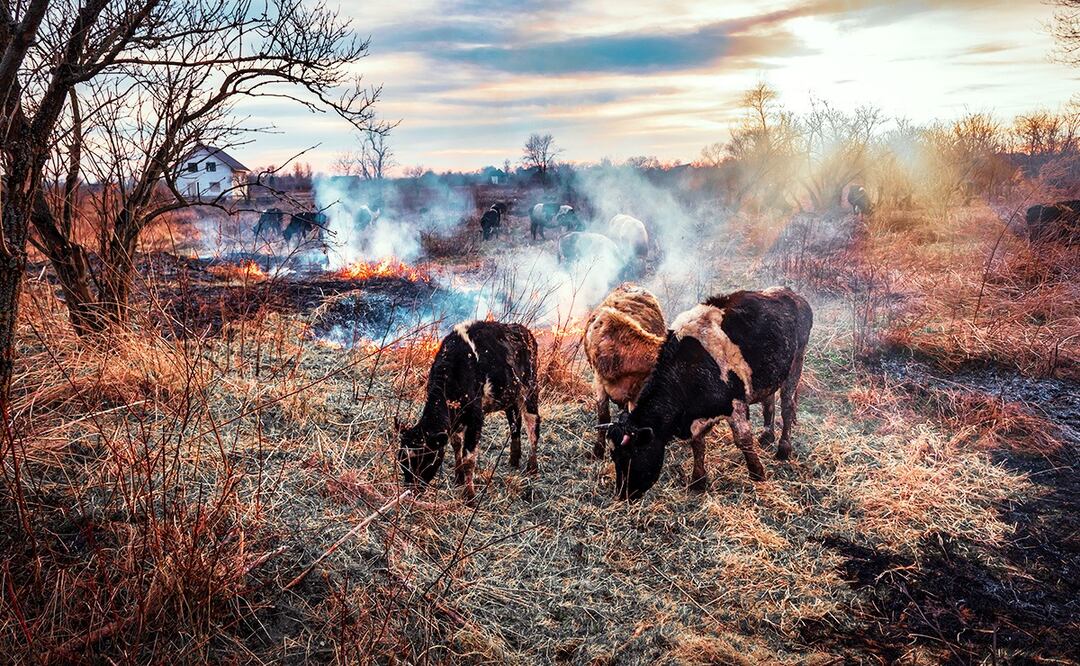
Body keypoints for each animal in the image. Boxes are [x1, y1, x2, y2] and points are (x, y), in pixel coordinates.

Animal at [397, 321, 541, 499]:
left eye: (426, 460)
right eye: (403, 462)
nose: (411, 491)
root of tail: (522, 329)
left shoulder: (475, 417)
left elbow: (469, 458)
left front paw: (469, 496)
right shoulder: (454, 419)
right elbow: (456, 444)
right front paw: (458, 478)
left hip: (530, 388)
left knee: (533, 425)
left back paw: (532, 467)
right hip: (510, 396)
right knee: (515, 422)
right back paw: (514, 460)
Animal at [604, 287, 813, 500]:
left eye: (631, 454)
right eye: (613, 456)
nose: (623, 494)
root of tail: (790, 293)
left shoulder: (736, 404)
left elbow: (743, 440)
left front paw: (757, 473)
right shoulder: (695, 418)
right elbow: (697, 444)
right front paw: (698, 481)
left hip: (796, 363)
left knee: (787, 407)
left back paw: (783, 448)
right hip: (769, 375)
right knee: (768, 402)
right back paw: (767, 436)